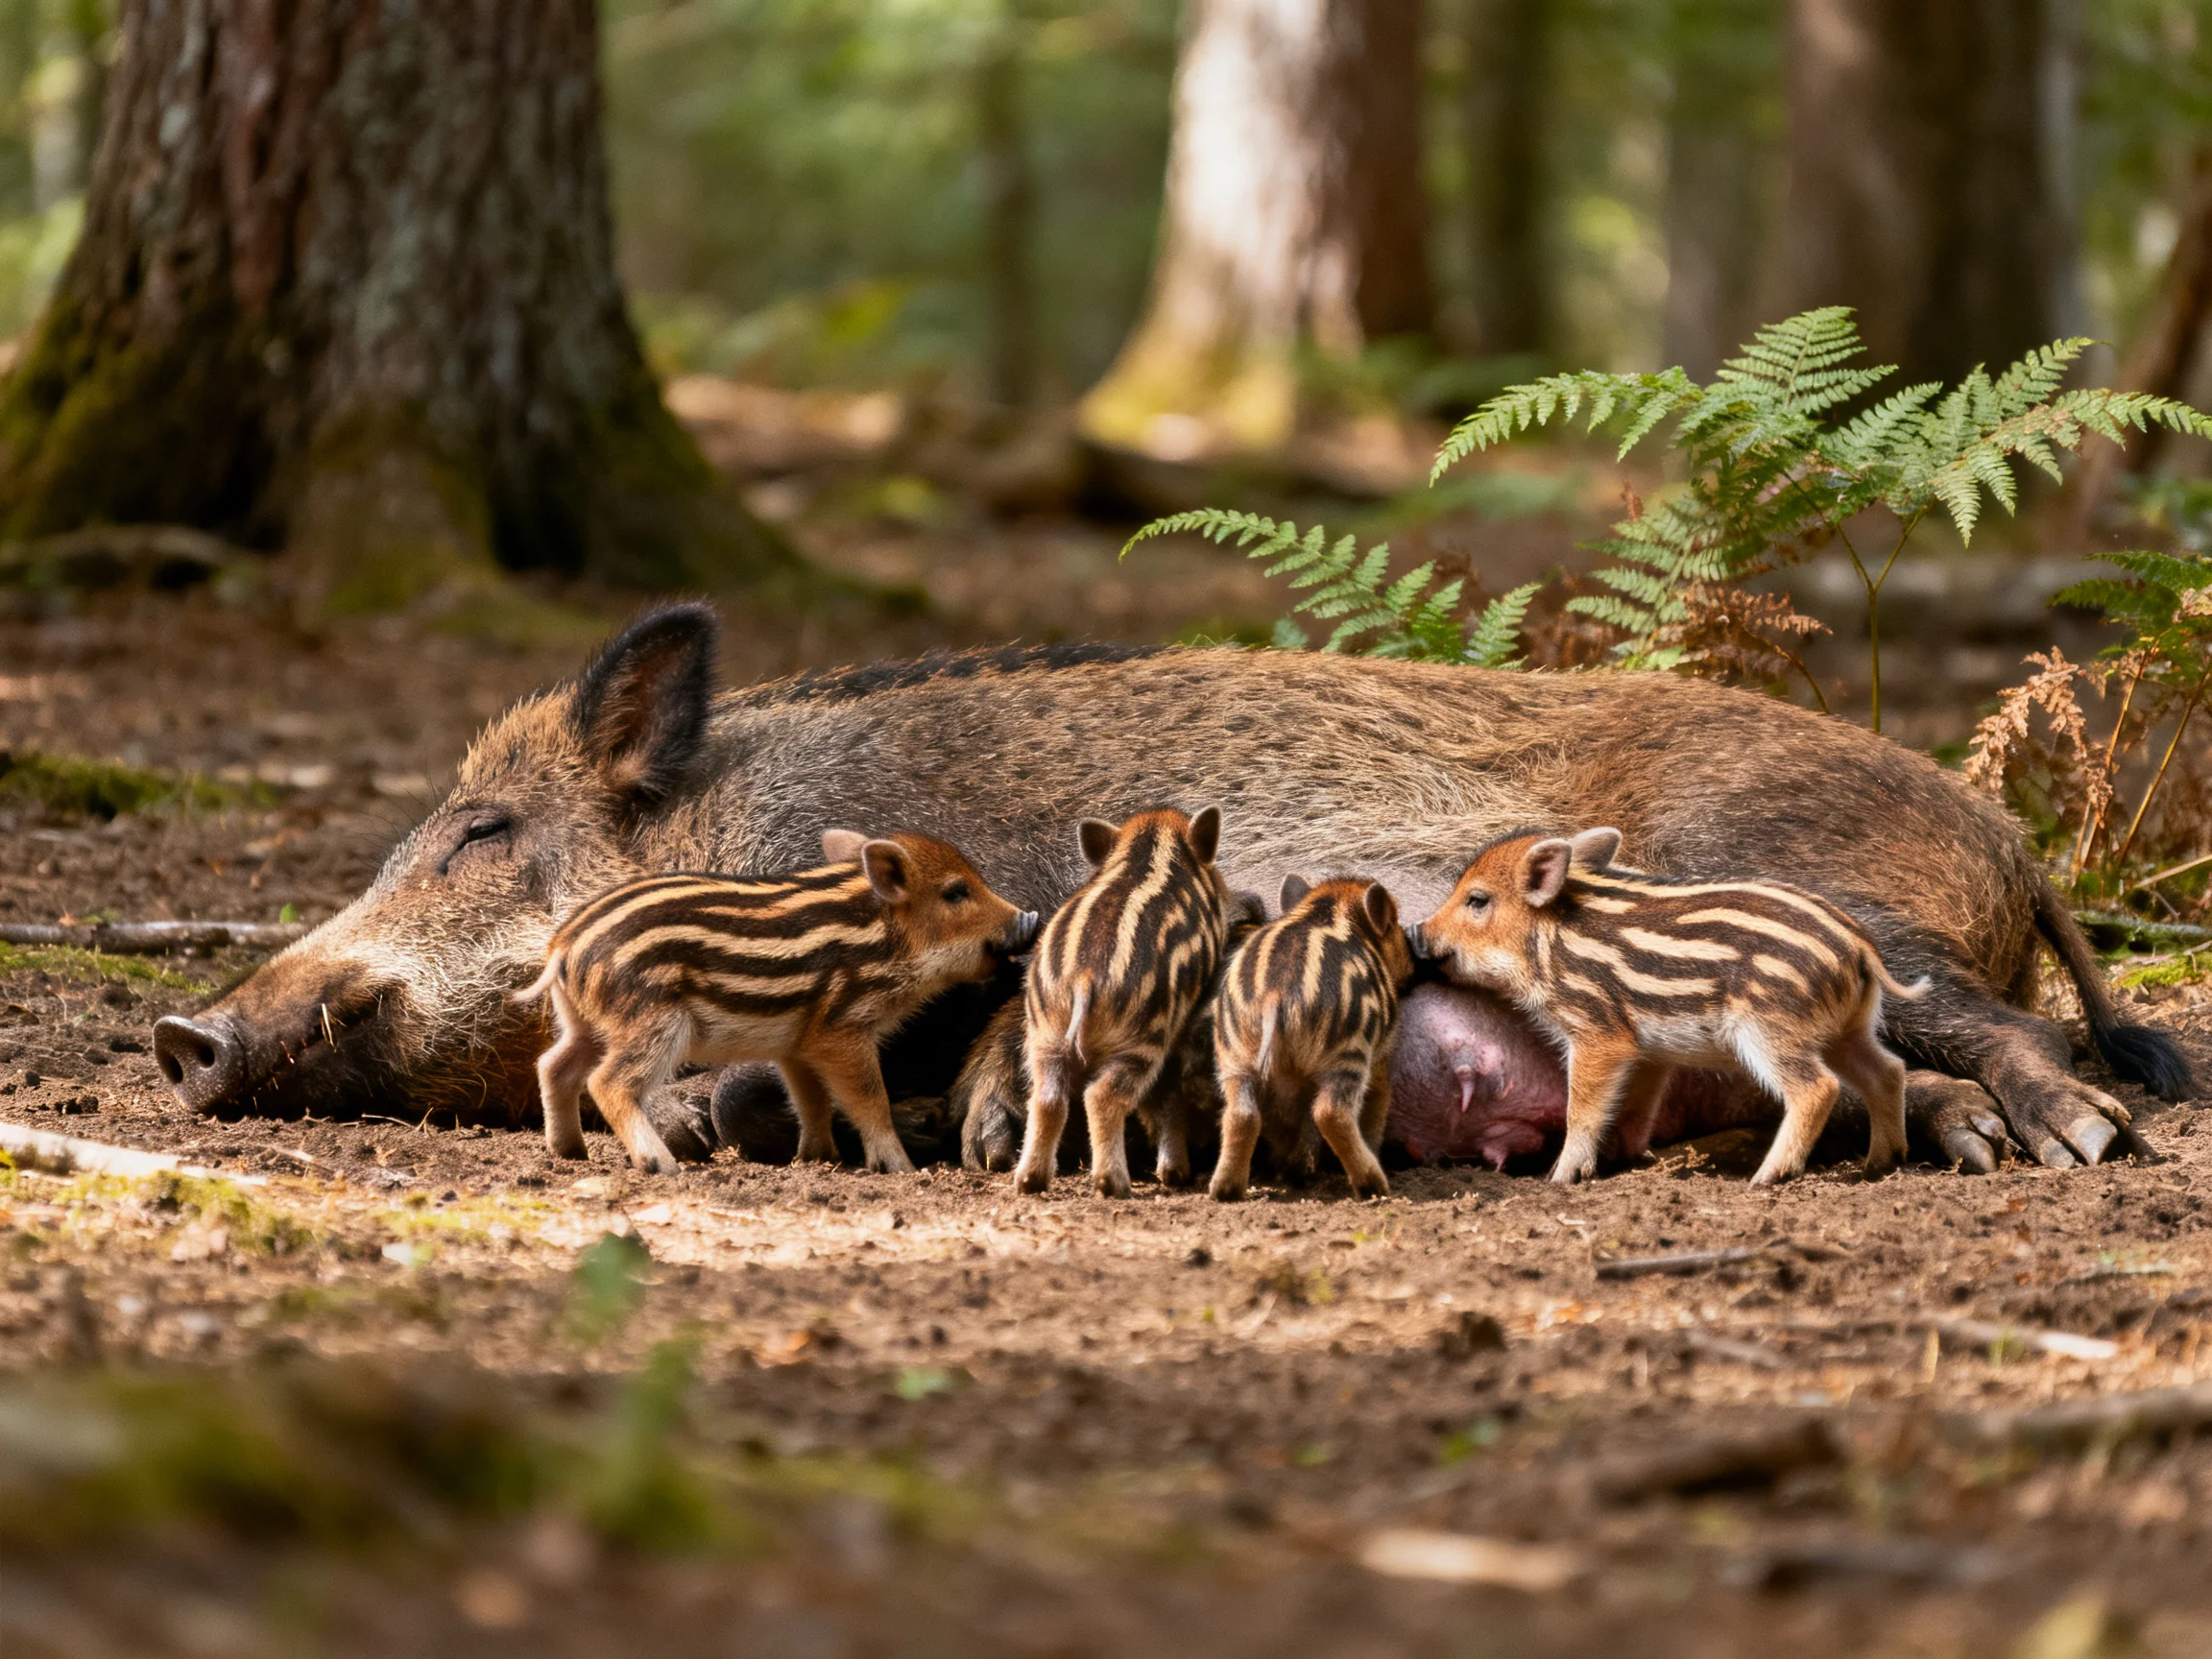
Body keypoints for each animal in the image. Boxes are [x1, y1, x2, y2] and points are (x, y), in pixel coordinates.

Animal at [519, 829, 1037, 1173]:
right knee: (608, 1082)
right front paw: (900, 1169)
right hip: (652, 1024)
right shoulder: (841, 1030)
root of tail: (563, 947)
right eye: (956, 892)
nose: (1030, 918)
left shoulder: (797, 1044)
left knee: (554, 1066)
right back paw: (660, 1165)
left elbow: (811, 1100)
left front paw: (817, 1160)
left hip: (586, 1023)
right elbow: (869, 1099)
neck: (880, 939)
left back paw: (569, 1152)